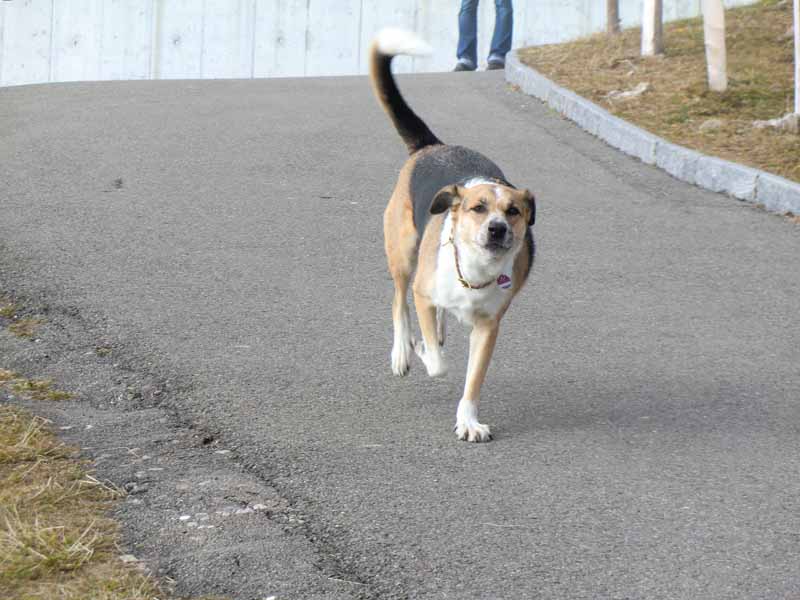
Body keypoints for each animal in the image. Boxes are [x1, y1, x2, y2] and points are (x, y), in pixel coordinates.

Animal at [370, 29, 536, 440]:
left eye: (513, 211)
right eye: (478, 208)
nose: (497, 229)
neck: (476, 271)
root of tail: (433, 146)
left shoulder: (489, 327)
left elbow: (472, 380)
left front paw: (468, 422)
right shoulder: (423, 293)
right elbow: (438, 363)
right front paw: (419, 349)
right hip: (404, 252)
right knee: (399, 301)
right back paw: (403, 350)